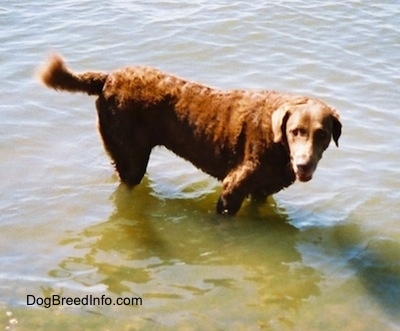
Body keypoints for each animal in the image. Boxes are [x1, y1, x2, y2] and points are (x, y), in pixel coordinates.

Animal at [39, 53, 342, 215]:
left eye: (322, 134)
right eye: (295, 131)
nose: (303, 165)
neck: (278, 144)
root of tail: (107, 78)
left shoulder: (261, 192)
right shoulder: (232, 188)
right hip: (131, 153)